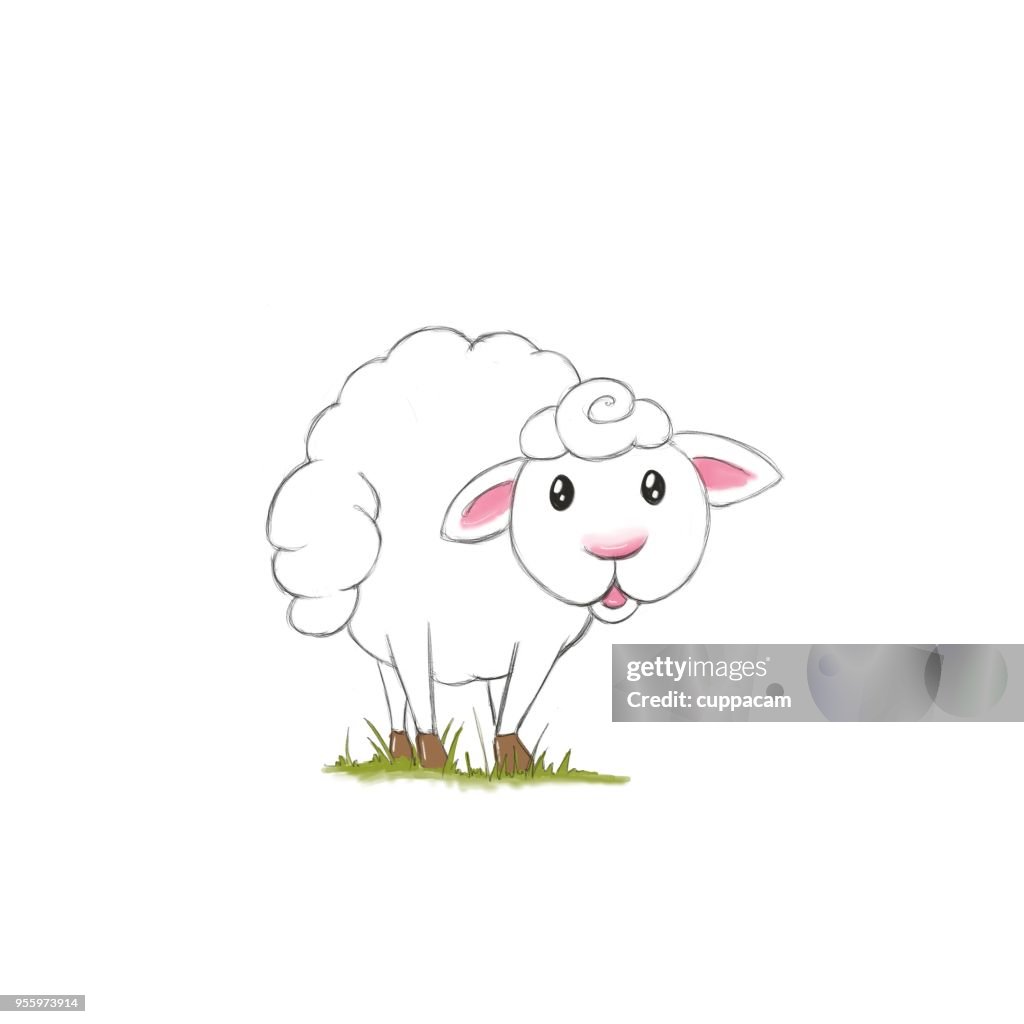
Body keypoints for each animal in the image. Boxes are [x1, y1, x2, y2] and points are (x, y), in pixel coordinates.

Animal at [267, 327, 781, 771]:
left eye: (654, 487)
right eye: (559, 493)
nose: (616, 548)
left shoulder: (536, 642)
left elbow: (512, 706)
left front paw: (514, 764)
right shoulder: (414, 629)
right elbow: (422, 695)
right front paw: (436, 760)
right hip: (385, 630)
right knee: (398, 691)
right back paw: (405, 754)